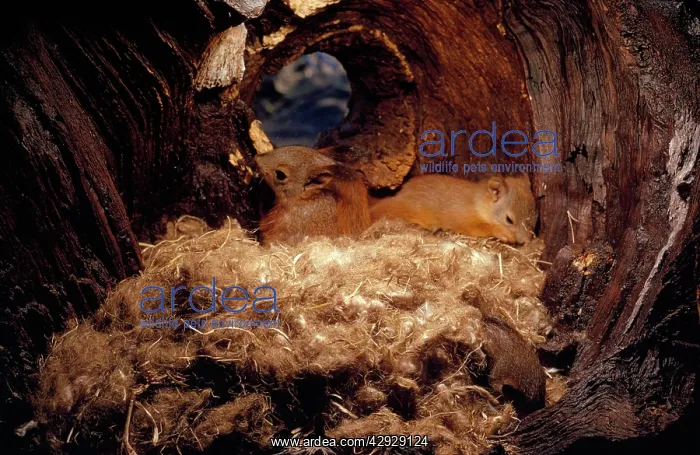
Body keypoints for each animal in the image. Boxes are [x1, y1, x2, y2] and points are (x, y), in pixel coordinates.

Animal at [369, 173, 537, 244]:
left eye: (535, 221)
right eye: (509, 219)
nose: (525, 242)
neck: (478, 202)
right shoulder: (461, 215)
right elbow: (476, 227)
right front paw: (502, 232)